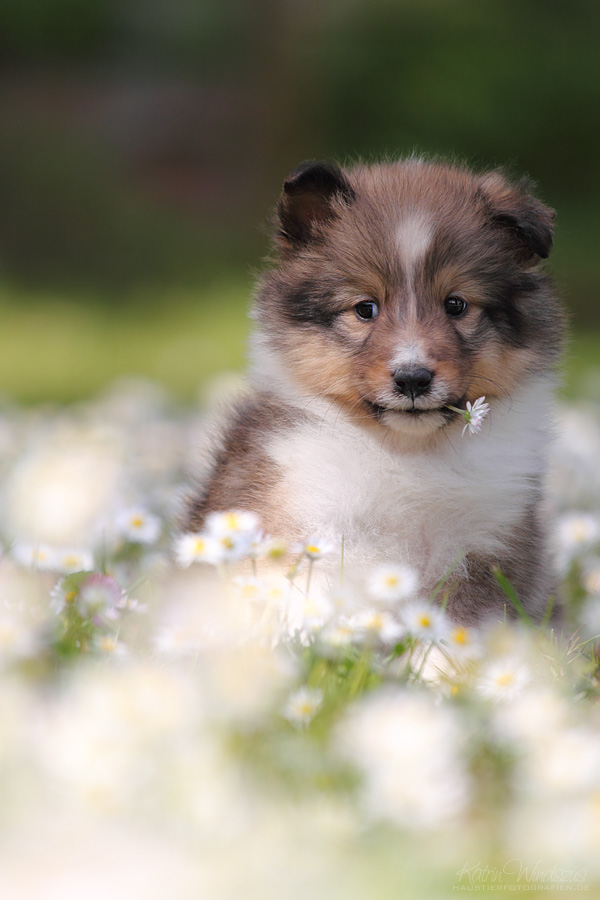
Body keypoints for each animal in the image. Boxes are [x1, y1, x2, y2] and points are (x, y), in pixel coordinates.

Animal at [185, 160, 564, 624]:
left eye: (456, 305)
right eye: (365, 308)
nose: (413, 378)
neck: (406, 453)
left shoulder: (487, 543)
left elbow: (459, 624)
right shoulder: (305, 518)